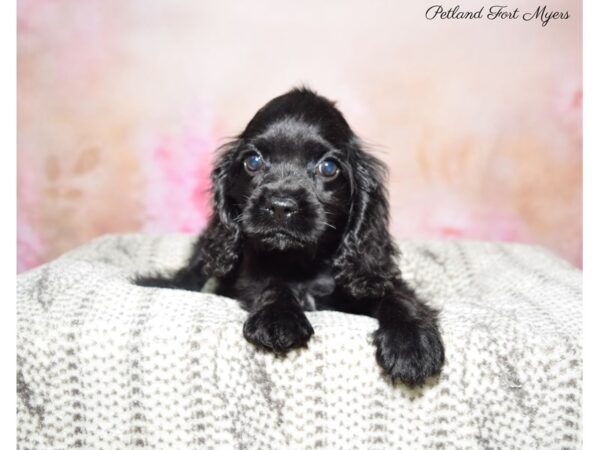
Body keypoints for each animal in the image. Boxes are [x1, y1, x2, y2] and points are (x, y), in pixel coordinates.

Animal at [137, 89, 446, 386]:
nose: (280, 206)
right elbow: (272, 284)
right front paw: (278, 319)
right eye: (253, 161)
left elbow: (398, 297)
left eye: (328, 167)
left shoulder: (368, 278)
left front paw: (413, 343)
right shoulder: (251, 277)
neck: (303, 264)